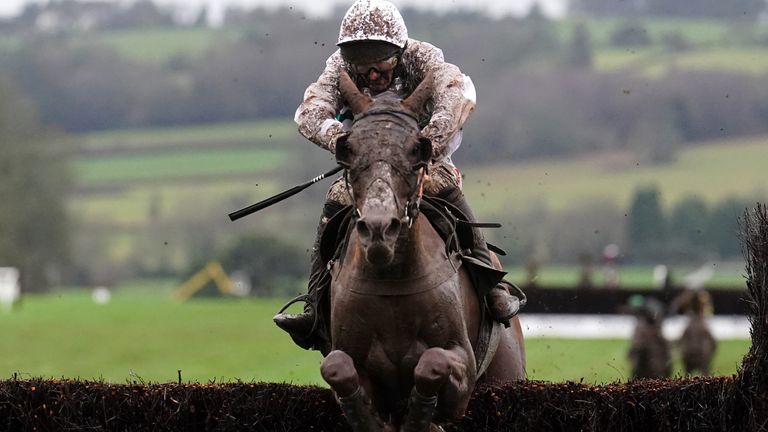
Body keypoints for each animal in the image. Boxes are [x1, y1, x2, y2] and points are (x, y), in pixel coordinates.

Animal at [318, 69, 528, 430]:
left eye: (417, 149)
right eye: (349, 150)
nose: (379, 229)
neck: (390, 276)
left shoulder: (462, 360)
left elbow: (432, 363)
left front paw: (421, 416)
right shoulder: (349, 356)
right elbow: (338, 369)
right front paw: (376, 420)